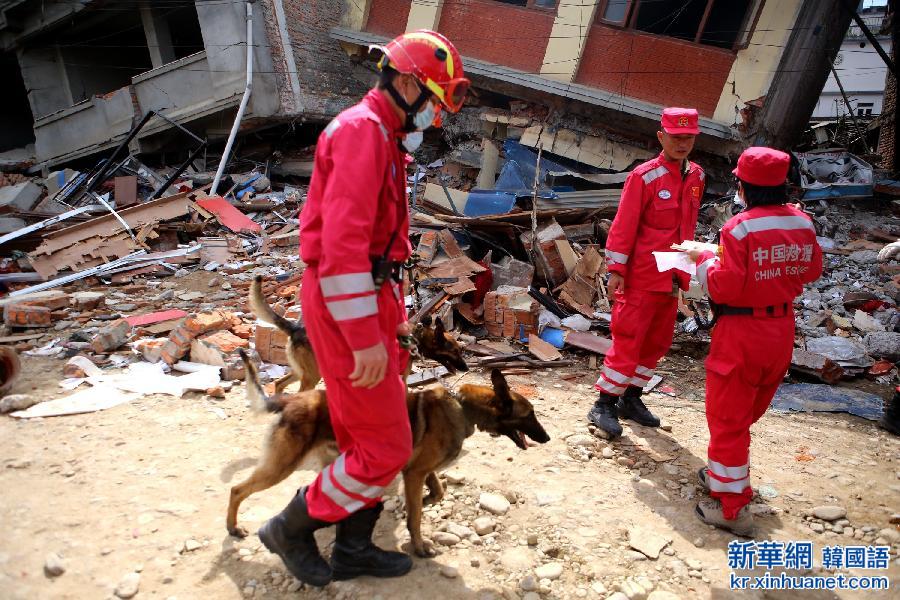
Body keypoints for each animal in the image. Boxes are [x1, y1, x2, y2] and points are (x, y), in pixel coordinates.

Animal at [227, 350, 548, 556]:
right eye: (529, 415)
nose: (546, 438)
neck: (463, 407)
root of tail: (289, 401)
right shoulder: (415, 472)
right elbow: (417, 517)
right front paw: (419, 546)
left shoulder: (419, 471)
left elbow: (437, 491)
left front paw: (424, 501)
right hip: (282, 465)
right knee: (237, 489)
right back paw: (234, 528)